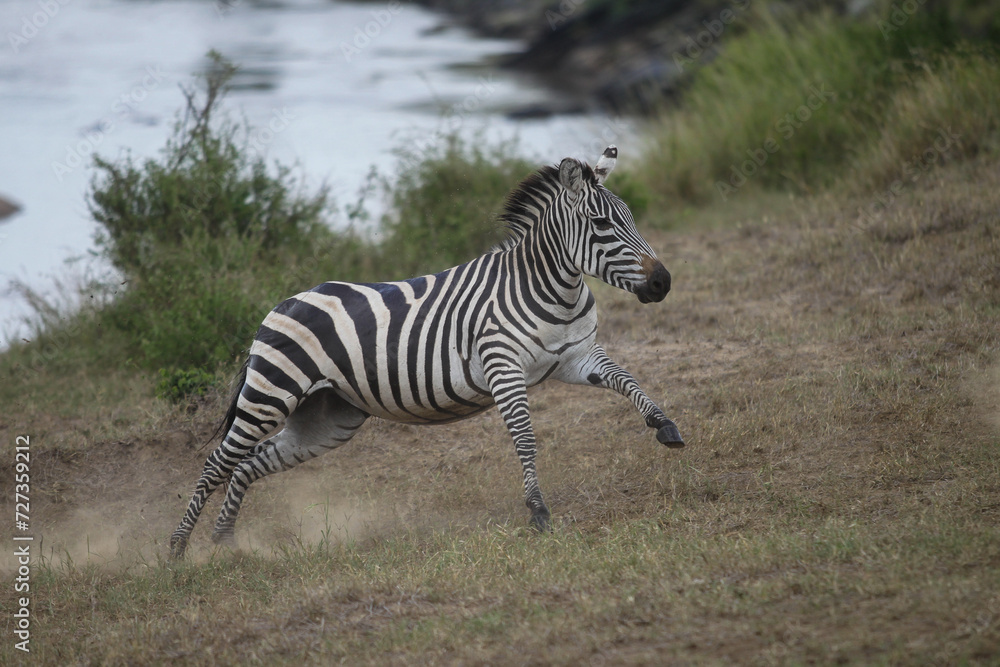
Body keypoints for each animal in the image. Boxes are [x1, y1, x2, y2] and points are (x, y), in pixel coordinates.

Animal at [169, 145, 684, 559]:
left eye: (631, 217)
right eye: (601, 224)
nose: (662, 283)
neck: (554, 289)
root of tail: (281, 304)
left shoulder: (577, 358)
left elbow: (627, 379)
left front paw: (664, 425)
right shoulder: (502, 367)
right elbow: (525, 438)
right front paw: (538, 511)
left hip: (328, 418)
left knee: (249, 462)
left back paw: (226, 542)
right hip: (269, 395)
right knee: (219, 461)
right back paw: (178, 549)